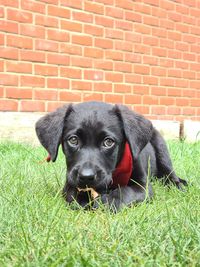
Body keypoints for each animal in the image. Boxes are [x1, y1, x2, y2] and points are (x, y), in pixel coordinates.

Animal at [35, 102, 187, 211]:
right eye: (73, 140)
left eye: (108, 142)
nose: (86, 177)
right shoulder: (70, 181)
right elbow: (72, 194)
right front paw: (83, 199)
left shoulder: (143, 186)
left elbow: (125, 192)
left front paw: (108, 201)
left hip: (161, 147)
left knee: (169, 173)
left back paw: (178, 185)